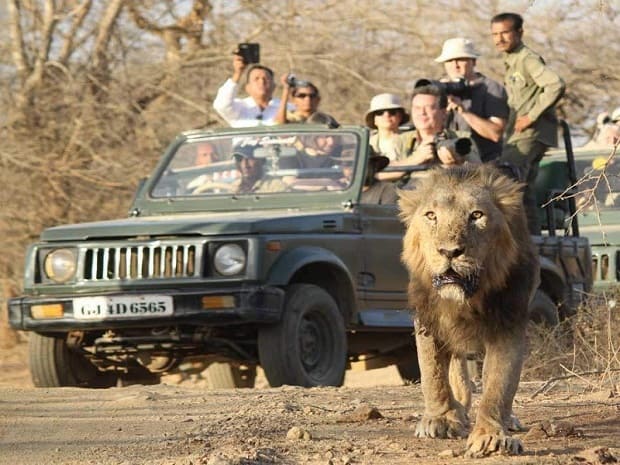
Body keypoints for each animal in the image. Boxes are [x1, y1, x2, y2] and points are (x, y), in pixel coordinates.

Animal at [398, 164, 536, 456]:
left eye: (476, 215)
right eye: (431, 216)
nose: (449, 252)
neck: (466, 299)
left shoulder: (509, 321)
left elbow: (499, 385)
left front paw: (491, 436)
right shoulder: (427, 318)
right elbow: (433, 373)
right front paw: (440, 419)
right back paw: (457, 411)